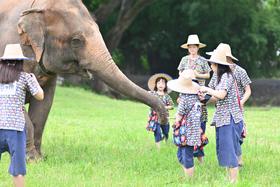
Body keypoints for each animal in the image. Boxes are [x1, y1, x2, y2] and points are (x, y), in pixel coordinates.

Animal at [0, 0, 167, 161]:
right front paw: (32, 160)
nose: (163, 121)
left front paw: (40, 158)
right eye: (76, 40)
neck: (37, 6)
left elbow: (44, 105)